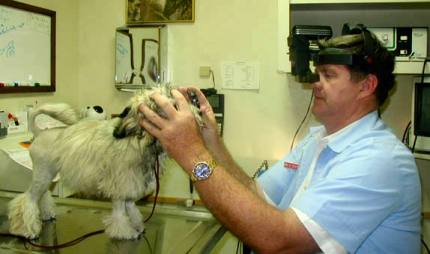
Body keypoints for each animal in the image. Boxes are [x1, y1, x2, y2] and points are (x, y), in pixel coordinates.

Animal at [7, 86, 202, 239]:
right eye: (174, 104)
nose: (194, 97)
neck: (139, 140)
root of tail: (39, 132)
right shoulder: (119, 187)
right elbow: (120, 212)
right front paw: (124, 231)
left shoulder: (130, 187)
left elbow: (131, 208)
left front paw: (137, 224)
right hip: (43, 173)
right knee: (29, 198)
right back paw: (27, 228)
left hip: (47, 175)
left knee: (42, 195)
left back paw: (45, 214)